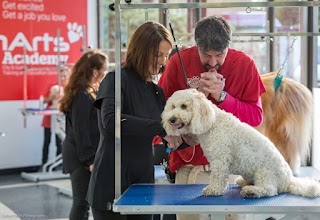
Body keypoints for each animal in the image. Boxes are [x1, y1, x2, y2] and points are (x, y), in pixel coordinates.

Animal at [162, 88, 320, 199]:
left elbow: (217, 176)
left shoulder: (220, 160)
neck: (212, 123)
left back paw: (252, 191)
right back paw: (244, 183)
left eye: (184, 106)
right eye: (172, 106)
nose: (172, 119)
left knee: (270, 190)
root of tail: (288, 180)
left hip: (265, 172)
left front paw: (213, 189)